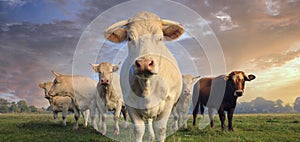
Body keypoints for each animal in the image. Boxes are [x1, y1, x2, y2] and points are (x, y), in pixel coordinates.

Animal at [105, 11, 185, 141]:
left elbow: (160, 129)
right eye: (129, 38)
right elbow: (139, 130)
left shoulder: (168, 101)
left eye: (160, 38)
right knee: (149, 120)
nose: (144, 63)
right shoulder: (129, 103)